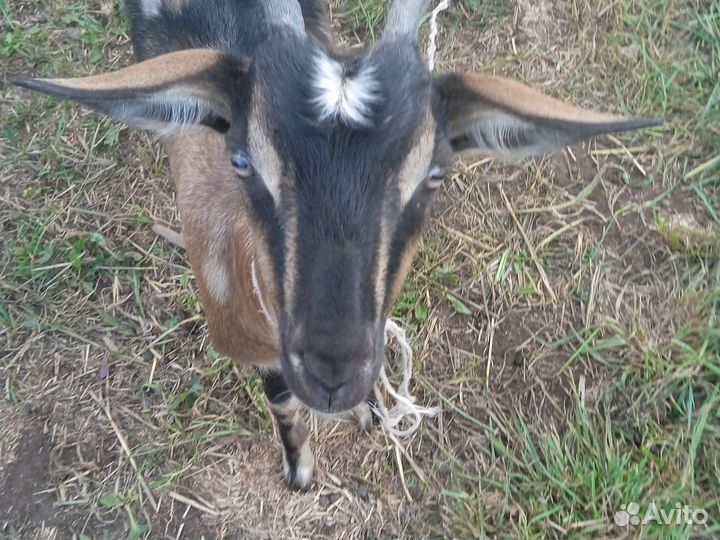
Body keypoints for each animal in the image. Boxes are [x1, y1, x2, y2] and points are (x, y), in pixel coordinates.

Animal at [13, 0, 661, 490]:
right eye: (242, 159)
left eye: (435, 173)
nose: (332, 372)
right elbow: (282, 406)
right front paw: (300, 473)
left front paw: (368, 411)